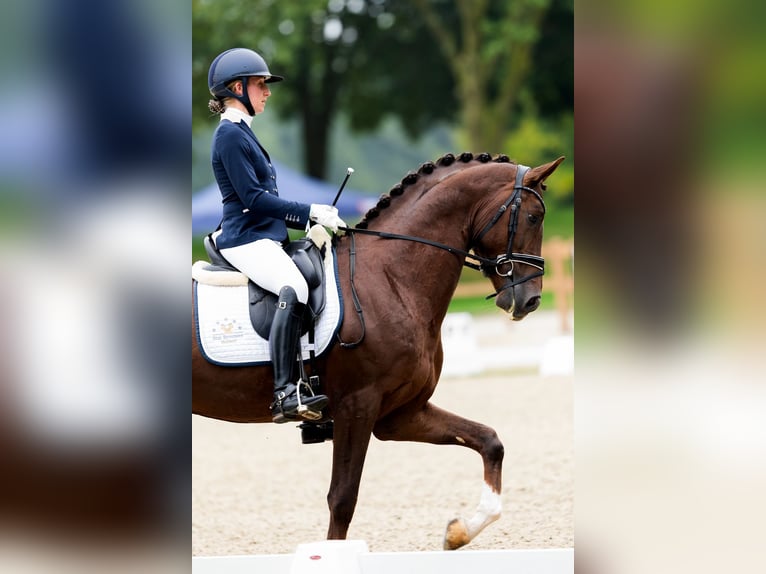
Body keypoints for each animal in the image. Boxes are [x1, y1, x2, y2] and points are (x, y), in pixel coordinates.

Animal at [192, 152, 565, 549]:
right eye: (533, 217)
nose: (530, 300)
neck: (392, 278)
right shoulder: (358, 405)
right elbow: (342, 499)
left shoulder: (400, 414)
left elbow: (490, 441)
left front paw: (458, 532)